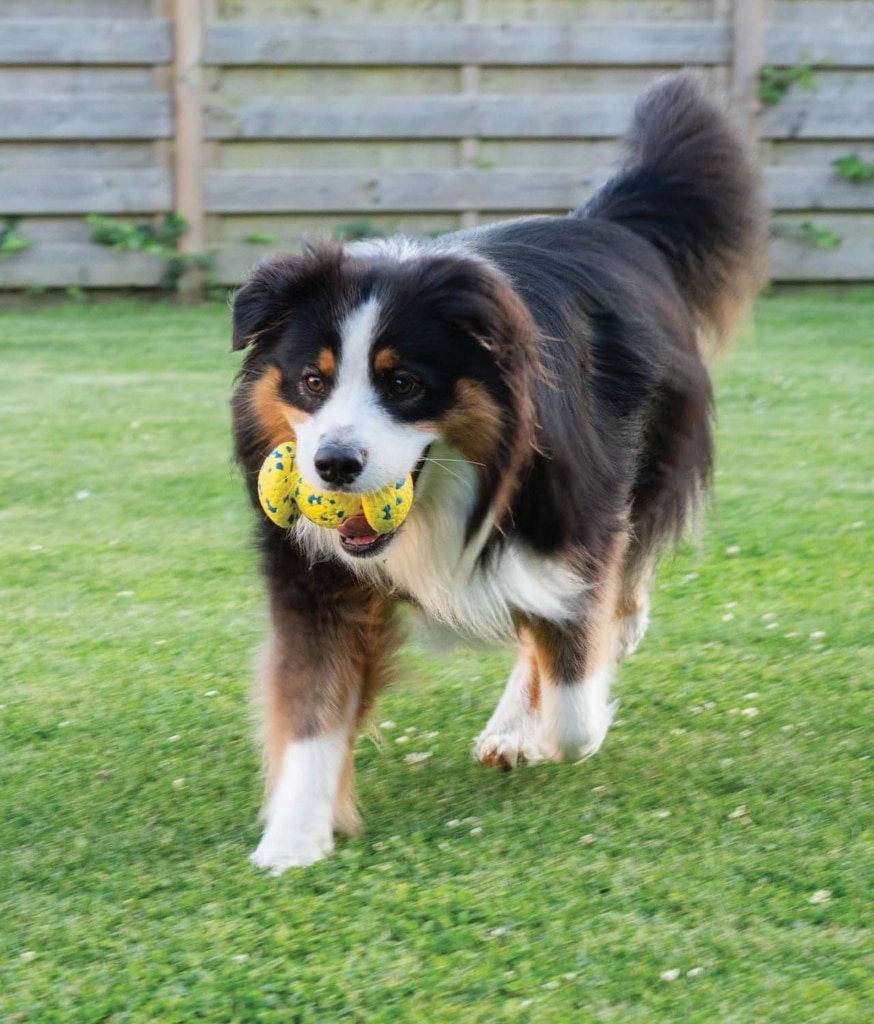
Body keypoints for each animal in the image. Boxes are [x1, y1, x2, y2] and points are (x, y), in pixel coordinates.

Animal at [231, 72, 765, 872]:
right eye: (311, 382)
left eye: (404, 384)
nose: (332, 466)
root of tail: (607, 223)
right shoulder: (315, 570)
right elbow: (313, 700)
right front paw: (293, 837)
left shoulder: (573, 520)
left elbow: (573, 687)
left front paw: (564, 723)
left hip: (649, 461)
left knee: (608, 582)